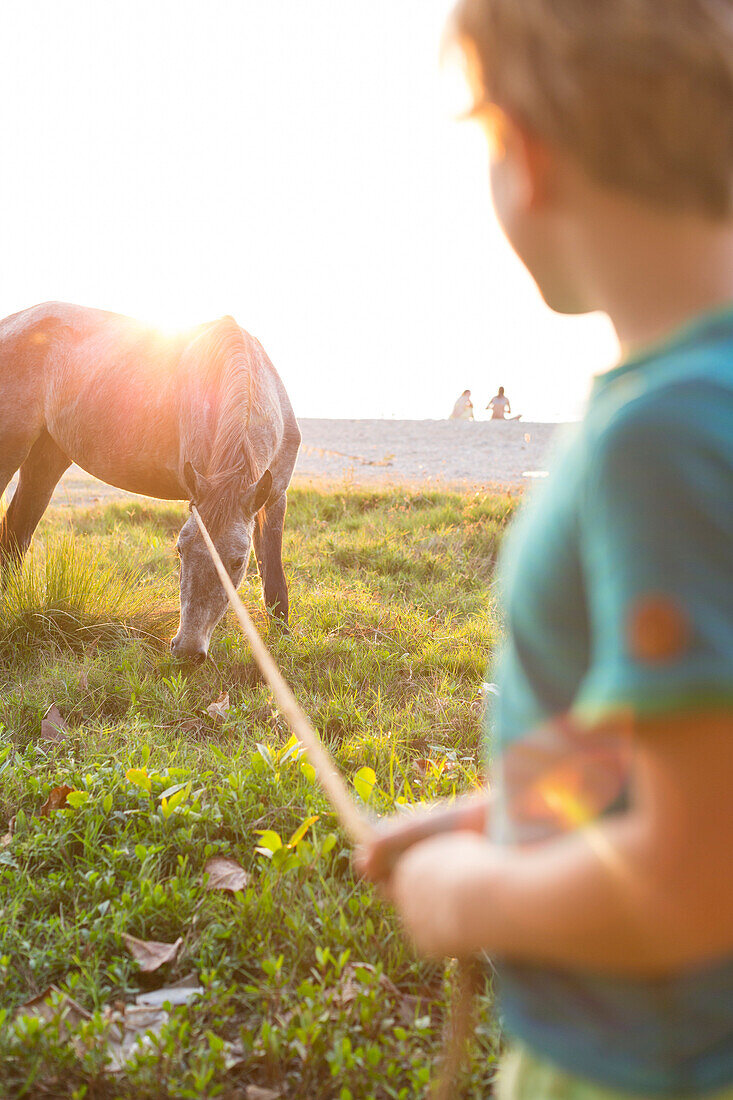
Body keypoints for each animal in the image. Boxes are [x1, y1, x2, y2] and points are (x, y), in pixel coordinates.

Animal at [0, 301, 299, 655]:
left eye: (238, 562)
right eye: (180, 551)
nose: (187, 650)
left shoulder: (274, 498)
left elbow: (274, 577)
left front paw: (283, 638)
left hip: (46, 459)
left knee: (17, 534)